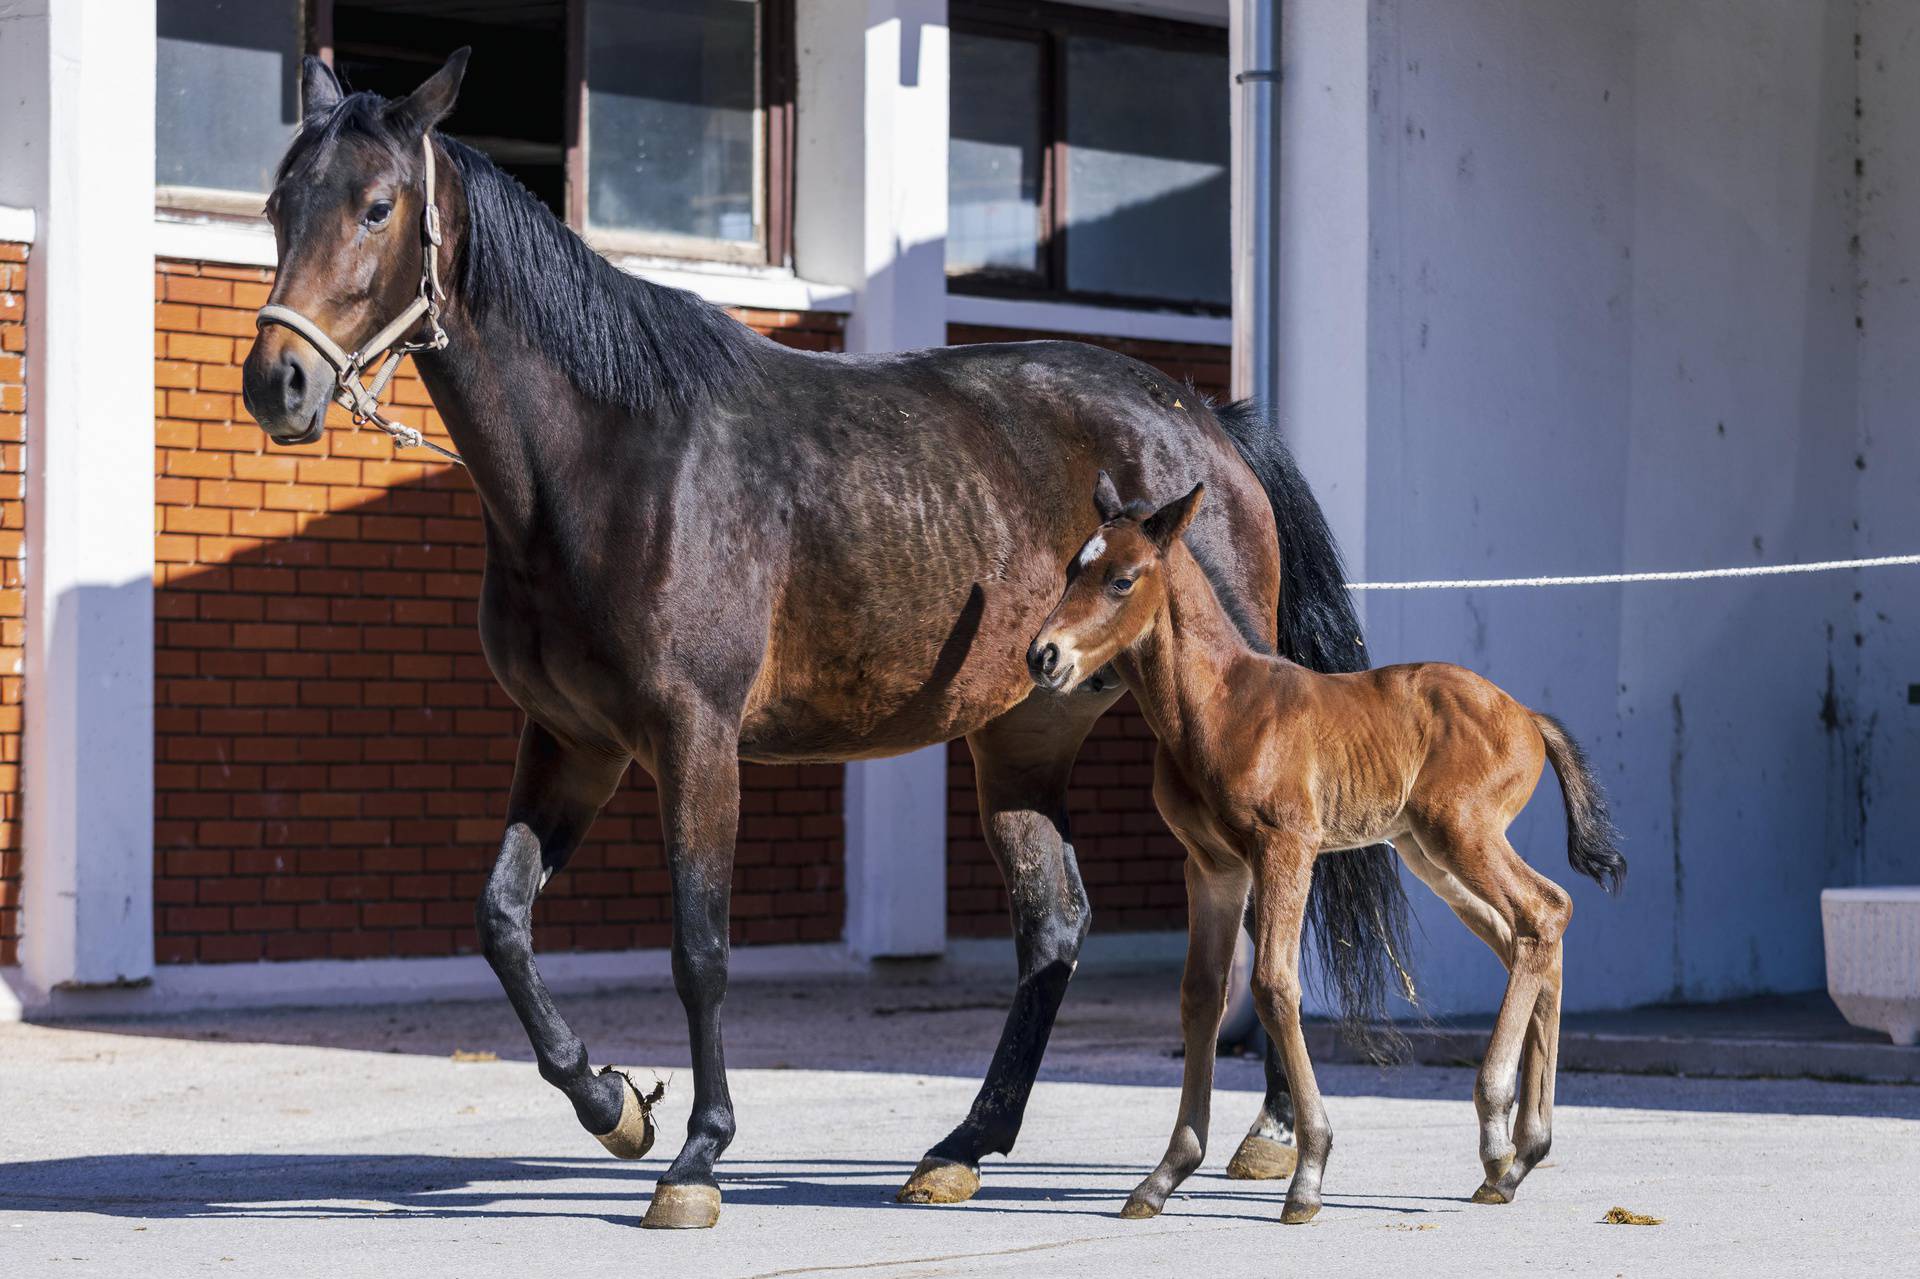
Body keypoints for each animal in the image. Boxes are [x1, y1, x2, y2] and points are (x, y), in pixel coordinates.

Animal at [1029, 472, 1628, 1221]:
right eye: (1071, 569)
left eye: (1122, 579)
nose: (1043, 656)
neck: (1217, 705)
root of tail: (1525, 714)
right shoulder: (1212, 867)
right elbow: (1200, 994)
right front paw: (1164, 1174)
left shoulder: (1287, 846)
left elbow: (1274, 983)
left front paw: (1309, 1171)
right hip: (1429, 851)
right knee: (1526, 930)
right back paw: (1516, 1151)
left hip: (1463, 831)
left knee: (1544, 912)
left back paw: (1504, 1136)